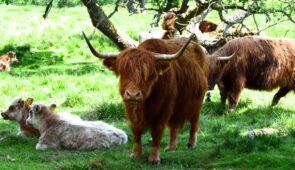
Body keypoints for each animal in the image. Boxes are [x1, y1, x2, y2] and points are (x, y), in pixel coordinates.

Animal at [82, 32, 208, 165]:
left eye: (148, 74)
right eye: (123, 72)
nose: (133, 94)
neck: (144, 106)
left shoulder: (164, 108)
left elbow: (157, 132)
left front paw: (154, 158)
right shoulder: (130, 109)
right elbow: (136, 131)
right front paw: (135, 154)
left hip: (197, 101)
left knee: (194, 121)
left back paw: (191, 143)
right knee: (174, 125)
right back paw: (171, 147)